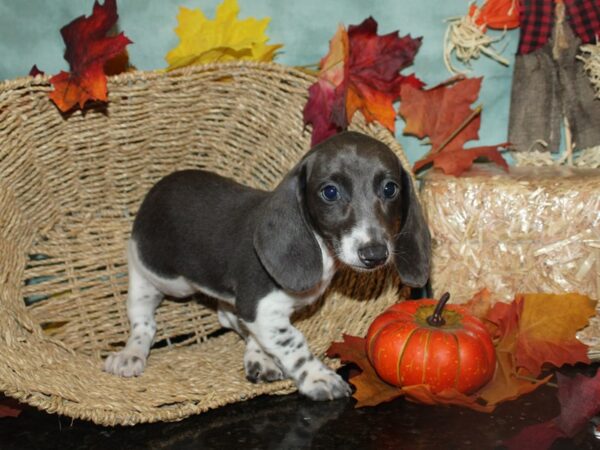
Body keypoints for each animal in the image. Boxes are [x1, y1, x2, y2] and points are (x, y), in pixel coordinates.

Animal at [104, 131, 432, 400]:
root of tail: (158, 188)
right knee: (144, 321)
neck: (321, 248)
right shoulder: (261, 309)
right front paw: (318, 378)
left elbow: (257, 330)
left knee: (227, 316)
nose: (375, 253)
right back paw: (131, 354)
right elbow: (294, 343)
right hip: (158, 275)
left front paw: (259, 356)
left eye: (390, 189)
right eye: (330, 192)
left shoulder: (259, 312)